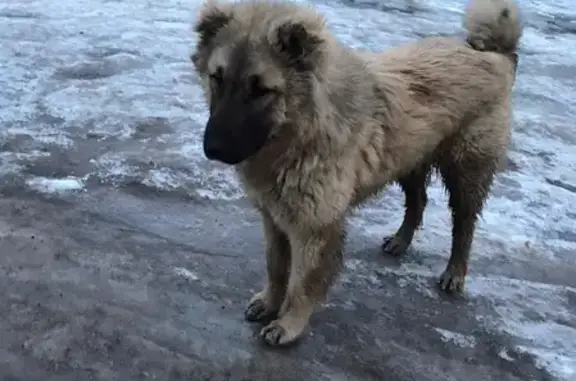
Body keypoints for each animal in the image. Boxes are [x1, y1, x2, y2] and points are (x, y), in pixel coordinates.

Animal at [191, 0, 524, 346]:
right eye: (217, 78)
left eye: (261, 90)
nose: (212, 148)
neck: (304, 127)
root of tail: (495, 55)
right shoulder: (274, 217)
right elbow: (276, 267)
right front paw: (270, 303)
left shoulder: (315, 226)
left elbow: (302, 283)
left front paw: (288, 324)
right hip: (407, 158)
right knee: (418, 202)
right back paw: (400, 241)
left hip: (467, 172)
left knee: (464, 227)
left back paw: (455, 273)